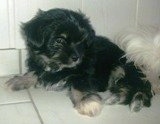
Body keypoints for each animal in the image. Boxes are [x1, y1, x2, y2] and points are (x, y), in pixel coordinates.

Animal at [5, 8, 152, 117]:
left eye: (81, 41)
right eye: (59, 40)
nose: (76, 58)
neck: (57, 66)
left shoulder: (84, 74)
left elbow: (80, 85)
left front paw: (87, 103)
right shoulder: (40, 64)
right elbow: (35, 72)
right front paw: (19, 80)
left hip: (121, 68)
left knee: (136, 88)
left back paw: (122, 99)